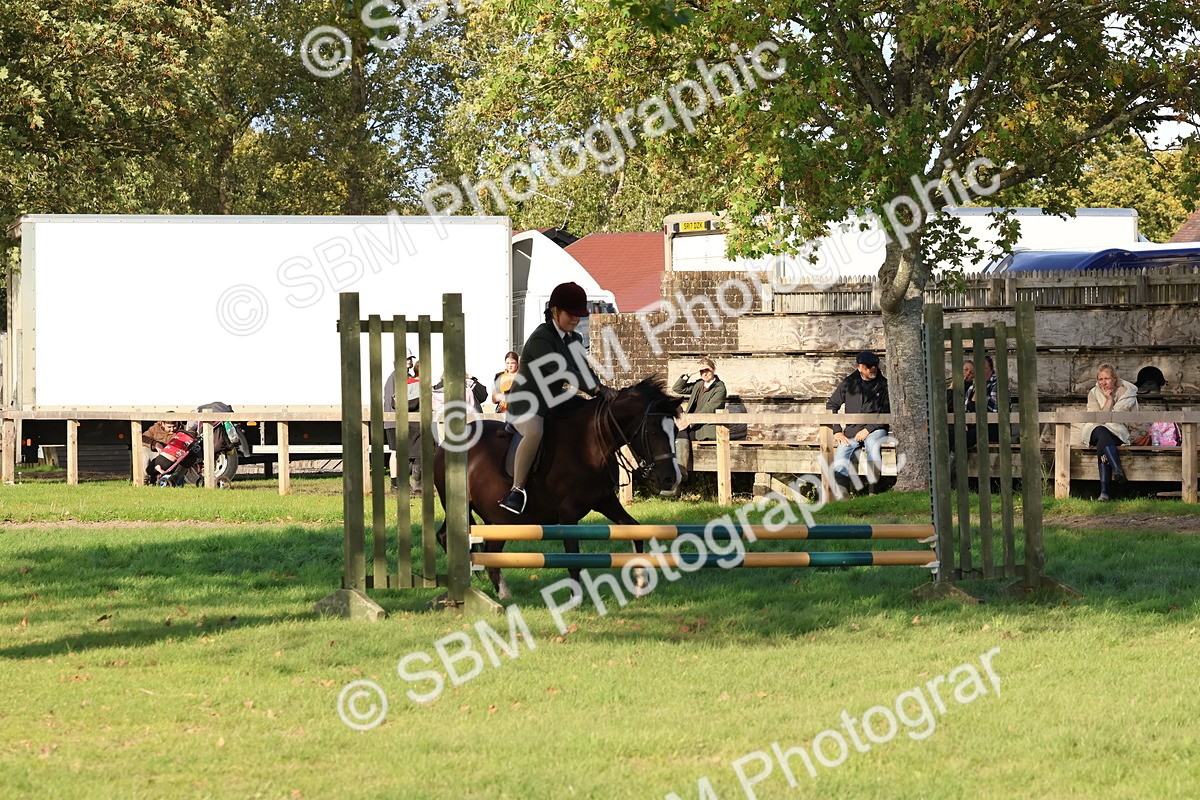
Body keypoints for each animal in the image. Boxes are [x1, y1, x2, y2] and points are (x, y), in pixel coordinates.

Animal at [433, 377, 684, 600]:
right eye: (654, 432)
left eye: (674, 430)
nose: (671, 479)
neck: (590, 443)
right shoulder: (568, 513)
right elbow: (573, 557)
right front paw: (575, 599)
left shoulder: (605, 501)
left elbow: (635, 530)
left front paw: (641, 582)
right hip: (464, 507)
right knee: (447, 536)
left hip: (499, 521)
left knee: (488, 552)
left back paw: (503, 593)